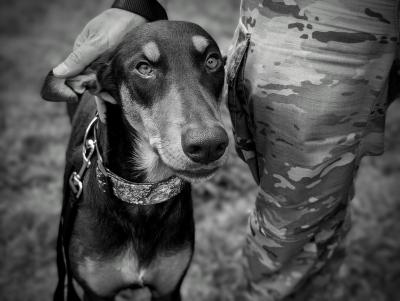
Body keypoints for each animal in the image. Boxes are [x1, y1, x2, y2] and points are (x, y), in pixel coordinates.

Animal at [41, 19, 228, 298]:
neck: (142, 197)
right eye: (144, 68)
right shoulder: (96, 292)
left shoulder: (169, 288)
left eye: (212, 61)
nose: (209, 145)